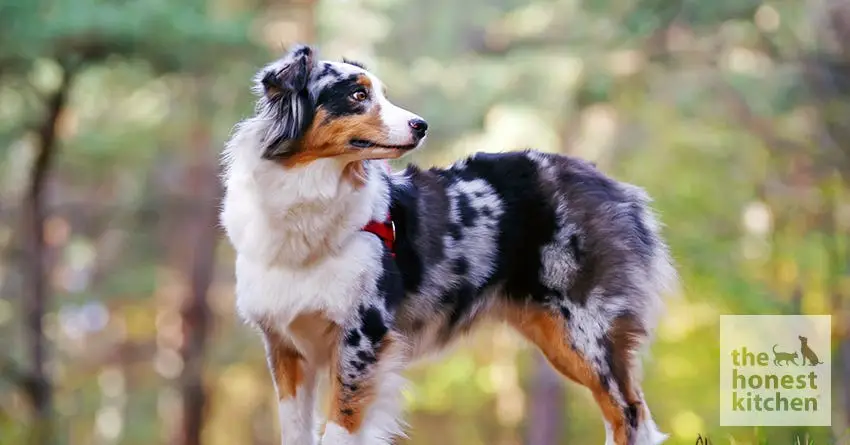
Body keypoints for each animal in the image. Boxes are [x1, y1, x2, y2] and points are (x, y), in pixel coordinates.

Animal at [219, 45, 676, 444]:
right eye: (357, 95)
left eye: (381, 93)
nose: (421, 125)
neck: (308, 196)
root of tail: (613, 185)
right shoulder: (284, 345)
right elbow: (295, 430)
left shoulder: (362, 338)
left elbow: (338, 431)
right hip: (555, 333)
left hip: (586, 329)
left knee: (628, 412)